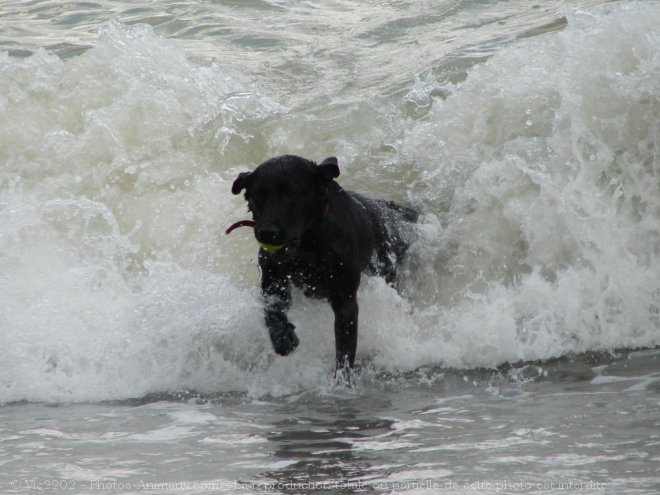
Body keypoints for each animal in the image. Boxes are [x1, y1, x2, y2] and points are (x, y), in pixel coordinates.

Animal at [227, 157, 418, 374]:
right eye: (257, 197)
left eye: (290, 194)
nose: (266, 232)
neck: (307, 246)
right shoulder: (273, 281)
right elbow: (272, 309)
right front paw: (283, 338)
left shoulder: (345, 301)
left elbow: (344, 353)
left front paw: (342, 381)